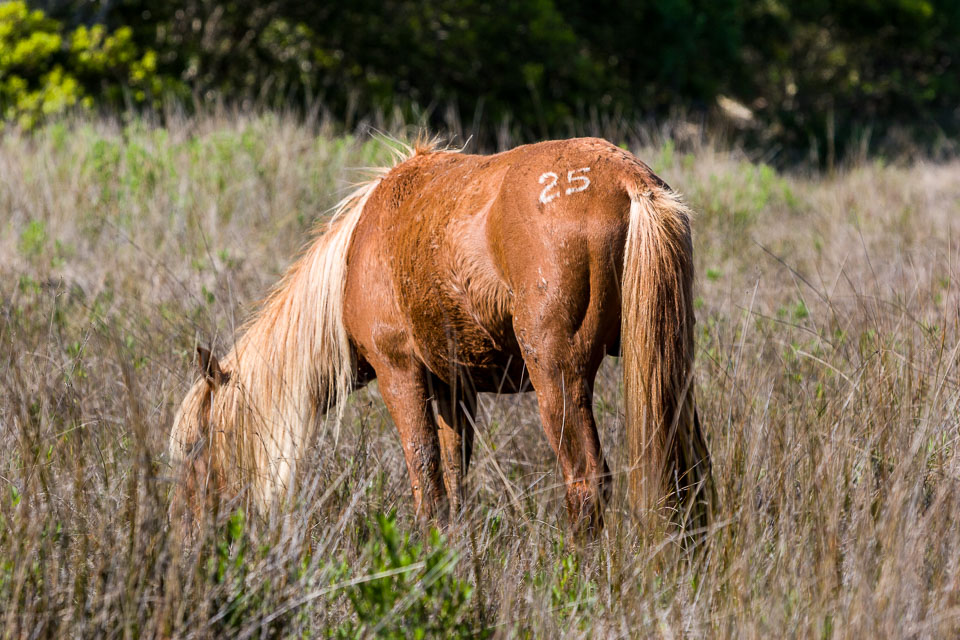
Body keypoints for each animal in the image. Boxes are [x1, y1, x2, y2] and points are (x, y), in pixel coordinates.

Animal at [169, 136, 712, 534]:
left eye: (195, 446)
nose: (185, 533)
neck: (352, 259)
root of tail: (630, 183)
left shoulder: (400, 373)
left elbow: (426, 479)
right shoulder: (455, 386)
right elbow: (454, 479)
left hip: (559, 376)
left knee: (586, 481)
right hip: (668, 368)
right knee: (691, 472)